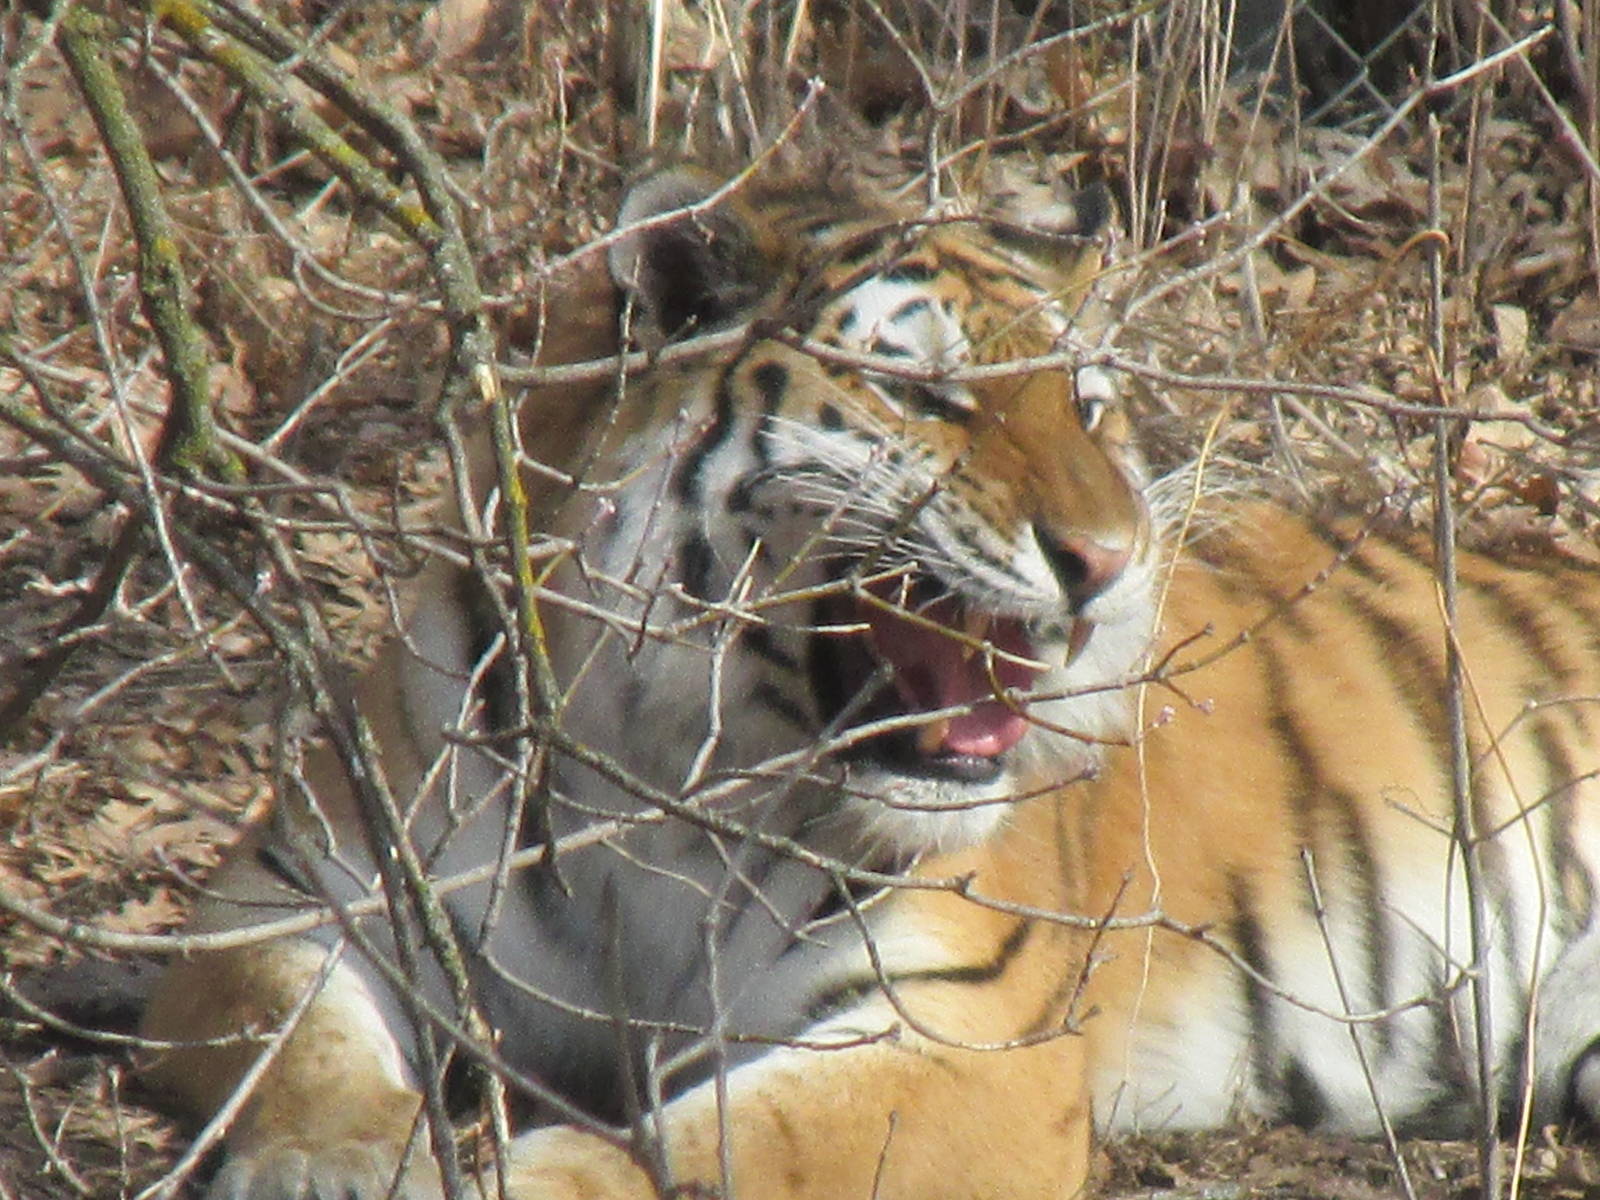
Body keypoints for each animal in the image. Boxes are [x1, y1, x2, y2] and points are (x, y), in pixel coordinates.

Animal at [140, 162, 1600, 1200]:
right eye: (929, 397)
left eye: (1087, 409)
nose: (1110, 560)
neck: (668, 773)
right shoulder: (295, 885)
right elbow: (297, 1034)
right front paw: (331, 1160)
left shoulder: (960, 1039)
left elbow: (697, 1153)